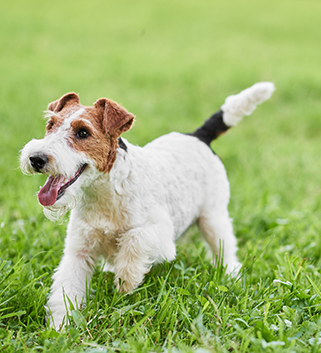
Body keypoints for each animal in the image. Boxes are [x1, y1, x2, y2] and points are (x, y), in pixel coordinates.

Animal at [20, 82, 272, 328]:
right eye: (50, 125)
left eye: (83, 132)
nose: (36, 158)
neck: (105, 191)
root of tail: (198, 136)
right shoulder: (78, 251)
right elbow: (66, 291)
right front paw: (59, 327)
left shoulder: (161, 236)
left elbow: (135, 239)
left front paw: (126, 280)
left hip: (213, 217)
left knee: (225, 249)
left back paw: (231, 275)